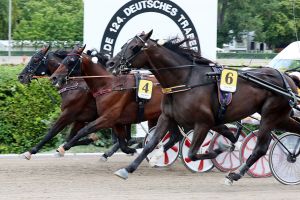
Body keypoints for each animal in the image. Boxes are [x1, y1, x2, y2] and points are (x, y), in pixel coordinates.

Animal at [105, 30, 300, 184]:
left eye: (134, 47)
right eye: (124, 44)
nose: (110, 64)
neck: (185, 80)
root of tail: (287, 78)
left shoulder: (204, 123)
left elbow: (193, 153)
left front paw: (220, 149)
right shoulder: (167, 117)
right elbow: (150, 144)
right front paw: (127, 169)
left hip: (270, 116)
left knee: (260, 148)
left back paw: (234, 175)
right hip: (280, 117)